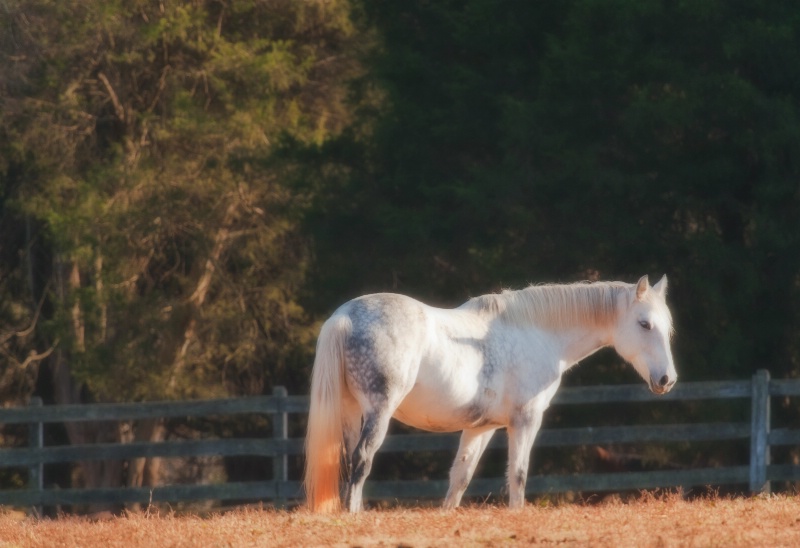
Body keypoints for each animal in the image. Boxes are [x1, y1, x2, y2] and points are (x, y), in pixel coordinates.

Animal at [304, 276, 680, 512]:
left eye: (667, 327)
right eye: (644, 324)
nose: (667, 379)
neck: (537, 332)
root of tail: (344, 317)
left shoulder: (479, 428)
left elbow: (460, 478)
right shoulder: (525, 421)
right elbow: (518, 473)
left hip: (352, 413)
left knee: (347, 461)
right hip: (377, 412)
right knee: (362, 459)